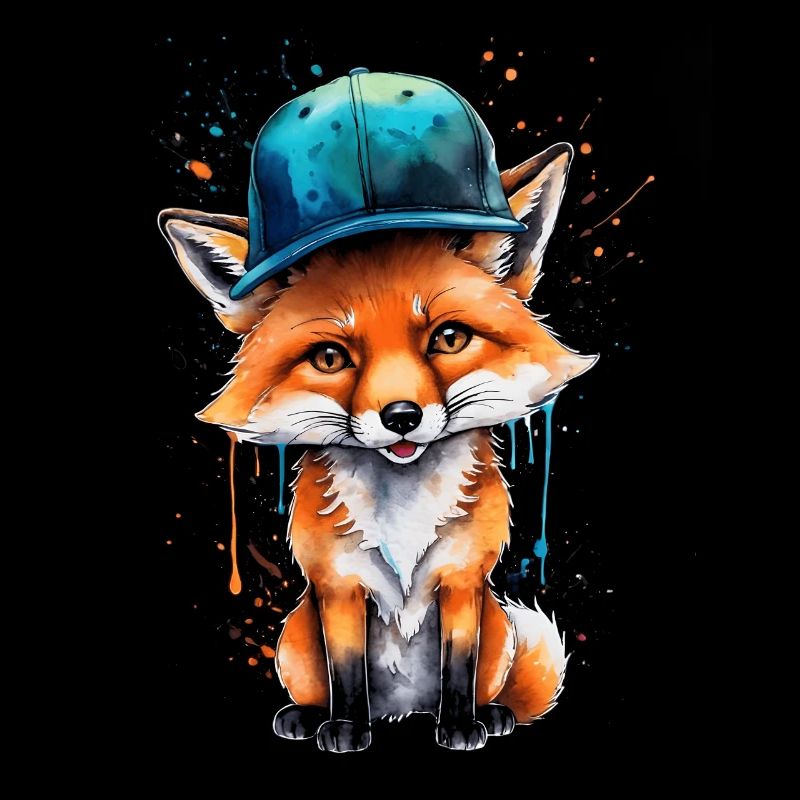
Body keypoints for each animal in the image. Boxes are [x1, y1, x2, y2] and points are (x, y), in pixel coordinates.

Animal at [160, 141, 596, 752]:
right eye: (329, 358)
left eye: (449, 339)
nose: (402, 418)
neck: (402, 509)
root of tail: (404, 710)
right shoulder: (339, 588)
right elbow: (347, 674)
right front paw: (345, 729)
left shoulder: (462, 582)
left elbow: (457, 668)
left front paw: (459, 727)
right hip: (297, 640)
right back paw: (306, 717)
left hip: (496, 630)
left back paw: (490, 714)